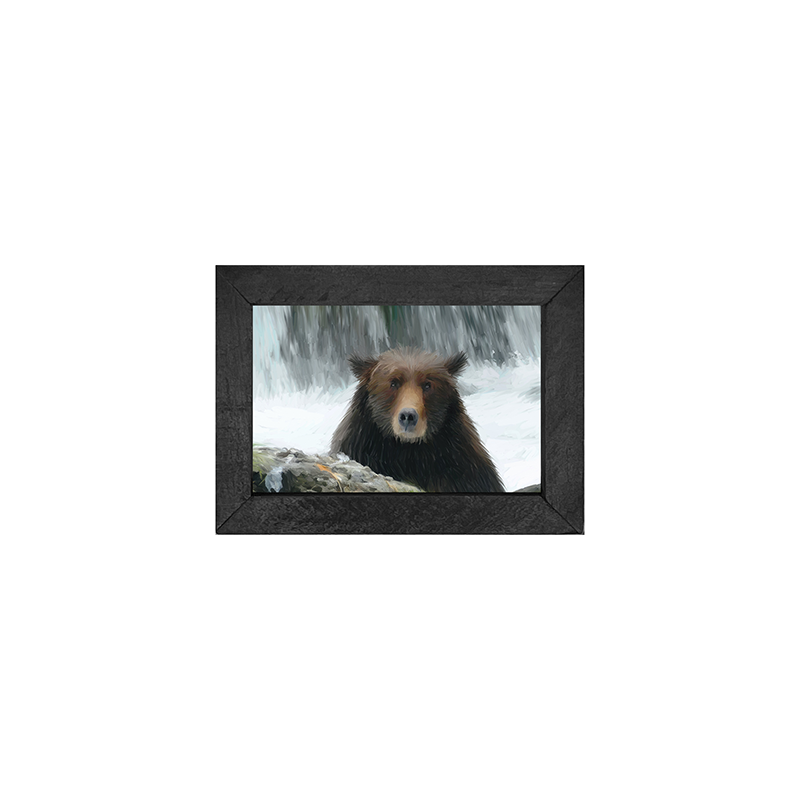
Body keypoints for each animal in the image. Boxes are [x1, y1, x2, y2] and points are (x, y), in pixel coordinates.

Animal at [330, 347, 505, 492]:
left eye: (427, 385)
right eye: (393, 383)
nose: (408, 416)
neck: (409, 450)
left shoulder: (461, 466)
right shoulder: (361, 446)